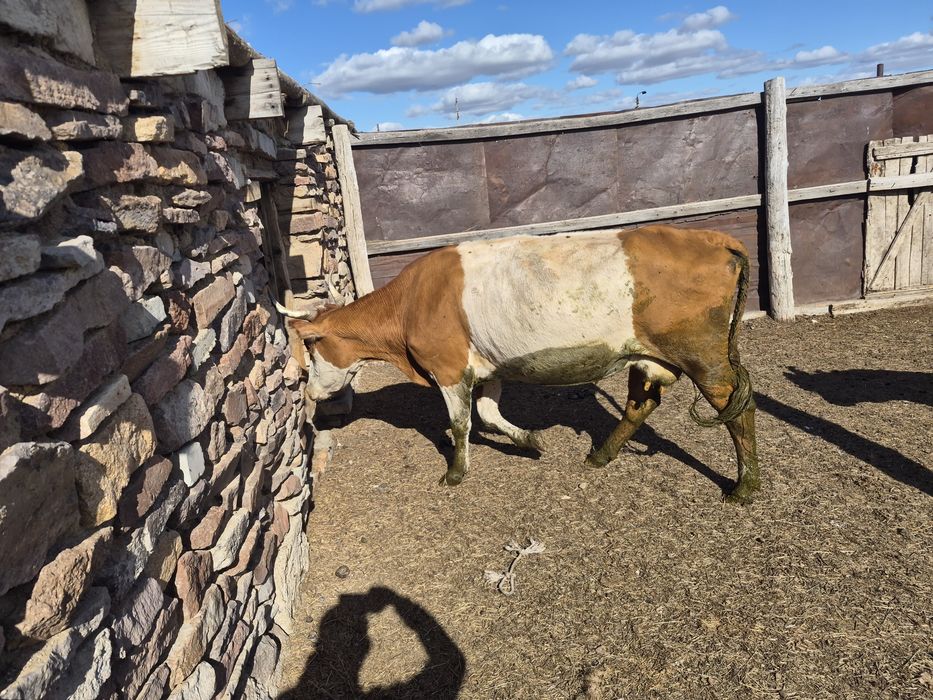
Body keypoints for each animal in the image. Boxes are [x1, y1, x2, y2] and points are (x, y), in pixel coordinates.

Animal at [277, 225, 760, 503]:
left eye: (313, 347)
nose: (310, 390)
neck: (411, 303)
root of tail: (714, 238)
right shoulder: (489, 369)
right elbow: (490, 414)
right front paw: (530, 441)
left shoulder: (448, 367)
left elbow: (461, 424)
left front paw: (455, 473)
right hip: (646, 356)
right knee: (640, 405)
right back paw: (600, 455)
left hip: (703, 355)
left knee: (740, 408)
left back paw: (746, 486)